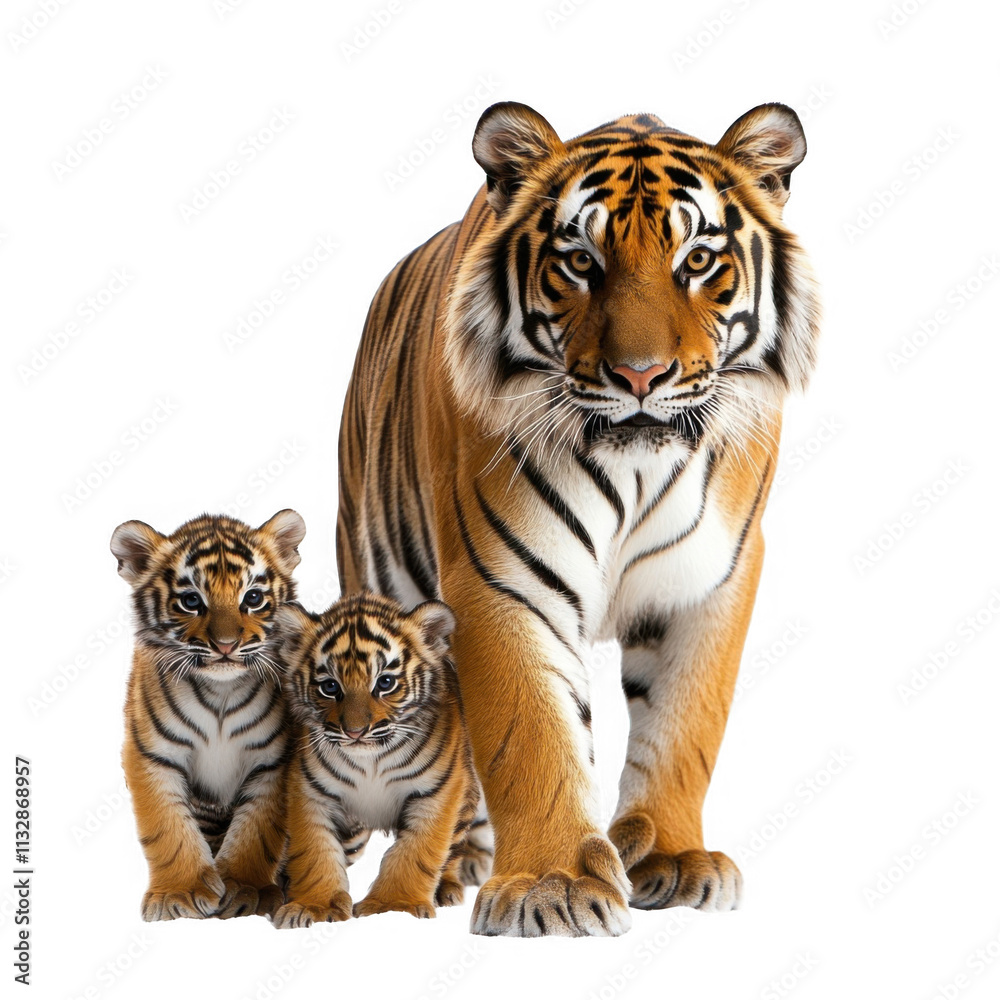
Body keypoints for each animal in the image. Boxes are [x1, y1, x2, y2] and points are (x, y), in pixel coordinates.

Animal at [111, 509, 306, 921]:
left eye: (252, 598)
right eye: (190, 601)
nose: (226, 646)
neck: (221, 691)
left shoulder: (273, 761)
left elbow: (257, 829)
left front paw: (247, 891)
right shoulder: (151, 754)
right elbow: (167, 826)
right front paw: (178, 893)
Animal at [270, 591, 484, 928]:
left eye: (385, 683)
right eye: (329, 687)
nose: (355, 732)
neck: (371, 760)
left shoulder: (436, 792)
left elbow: (416, 851)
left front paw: (394, 905)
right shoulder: (311, 792)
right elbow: (314, 851)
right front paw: (313, 905)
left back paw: (447, 888)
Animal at [336, 101, 820, 937]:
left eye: (697, 261)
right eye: (581, 262)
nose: (640, 376)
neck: (637, 467)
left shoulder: (710, 580)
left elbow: (685, 726)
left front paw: (674, 859)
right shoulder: (503, 581)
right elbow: (529, 736)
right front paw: (551, 884)